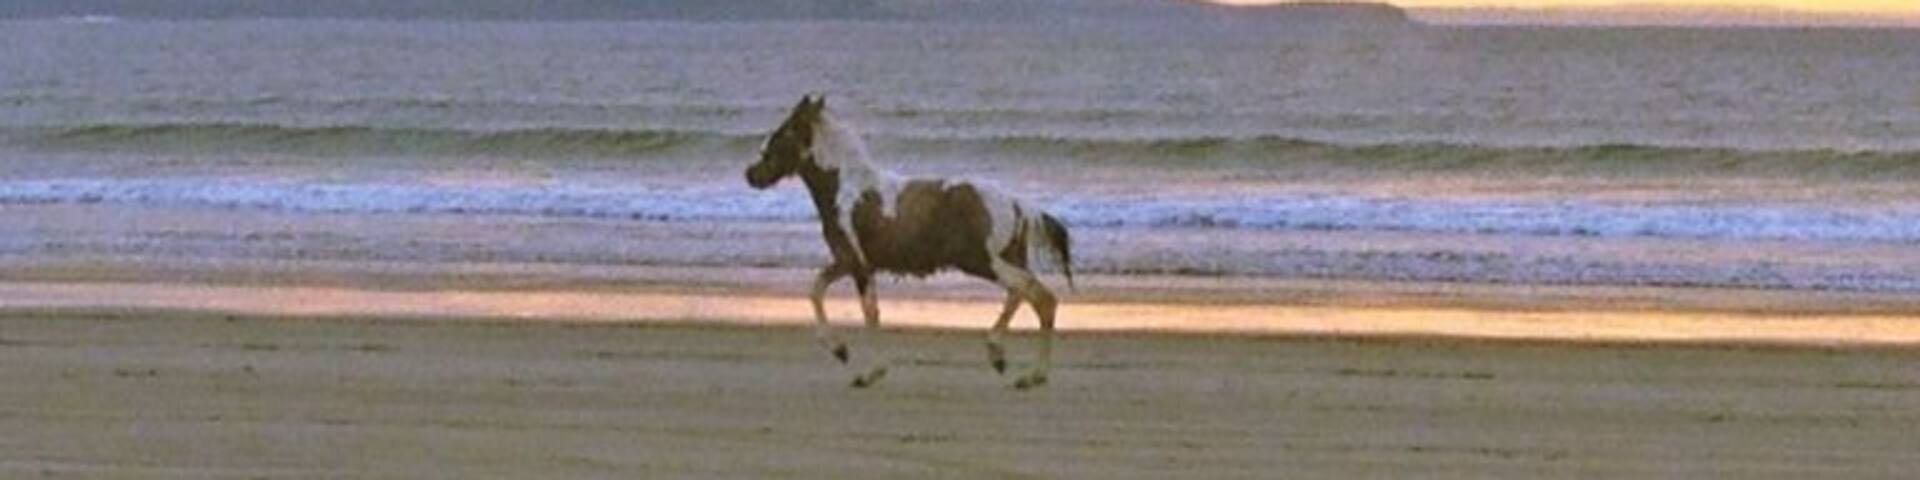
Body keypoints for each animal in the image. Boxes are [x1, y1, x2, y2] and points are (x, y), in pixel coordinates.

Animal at [745, 95, 1074, 389]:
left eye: (783, 131)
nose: (751, 174)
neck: (845, 190)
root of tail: (1016, 204)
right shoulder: (848, 261)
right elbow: (816, 291)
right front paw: (840, 350)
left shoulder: (857, 265)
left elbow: (869, 313)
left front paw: (869, 372)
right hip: (1002, 259)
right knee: (1021, 294)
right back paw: (1002, 358)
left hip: (984, 261)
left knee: (1039, 297)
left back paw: (1031, 375)